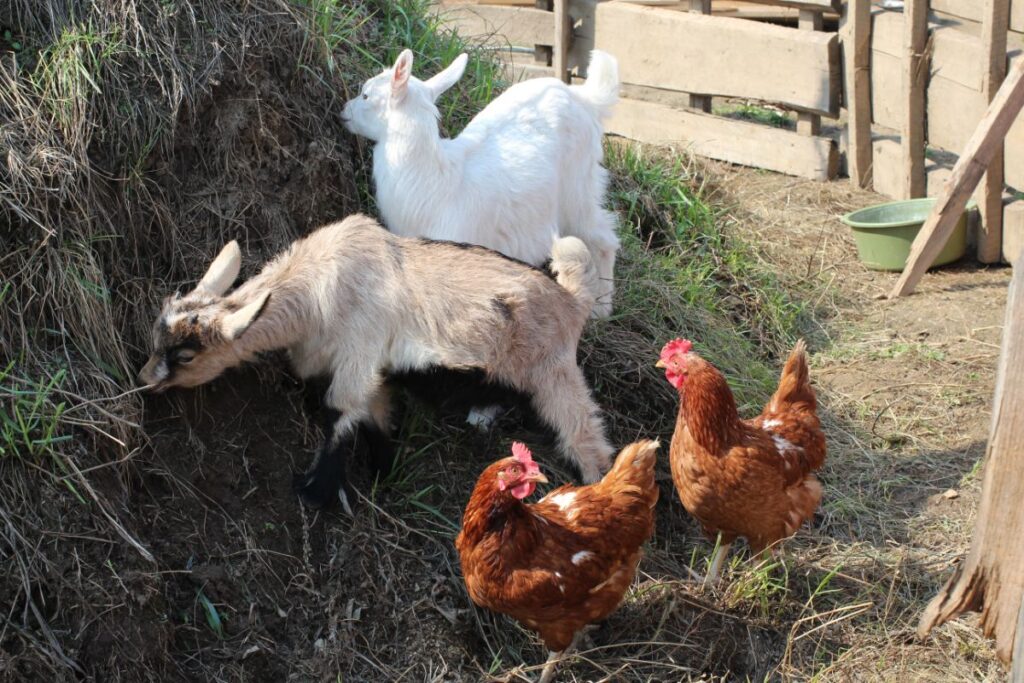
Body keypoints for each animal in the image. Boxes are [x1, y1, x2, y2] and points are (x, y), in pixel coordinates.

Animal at [139, 214, 614, 513]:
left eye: (185, 356)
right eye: (156, 335)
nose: (144, 381)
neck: (315, 289)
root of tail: (572, 299)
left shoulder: (358, 350)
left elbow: (340, 409)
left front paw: (315, 491)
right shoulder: (372, 368)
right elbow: (375, 413)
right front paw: (384, 469)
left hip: (555, 372)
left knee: (587, 438)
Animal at [341, 49, 621, 318]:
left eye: (365, 95)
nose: (343, 111)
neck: (437, 180)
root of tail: (583, 97)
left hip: (578, 187)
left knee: (603, 237)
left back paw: (601, 308)